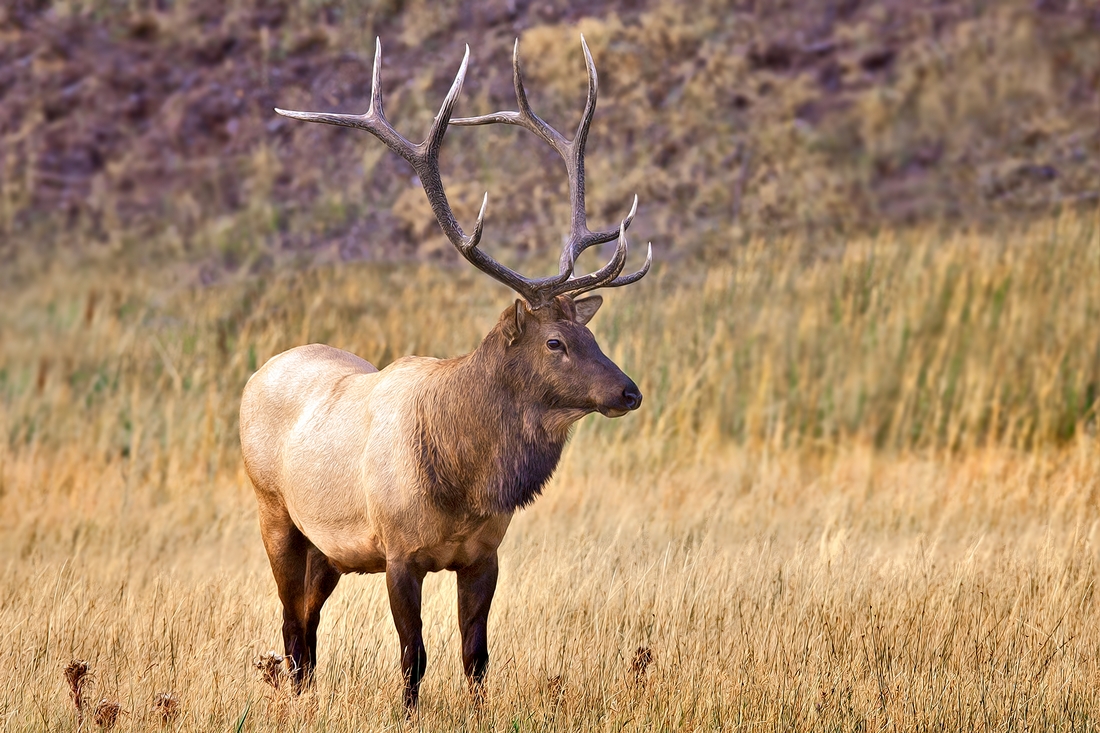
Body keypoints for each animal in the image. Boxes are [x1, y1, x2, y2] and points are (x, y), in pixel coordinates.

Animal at [239, 35, 646, 708]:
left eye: (593, 334)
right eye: (556, 342)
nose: (629, 391)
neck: (463, 479)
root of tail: (258, 373)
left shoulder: (484, 554)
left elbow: (475, 655)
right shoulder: (399, 552)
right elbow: (413, 657)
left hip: (330, 550)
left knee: (308, 621)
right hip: (275, 511)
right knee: (290, 623)